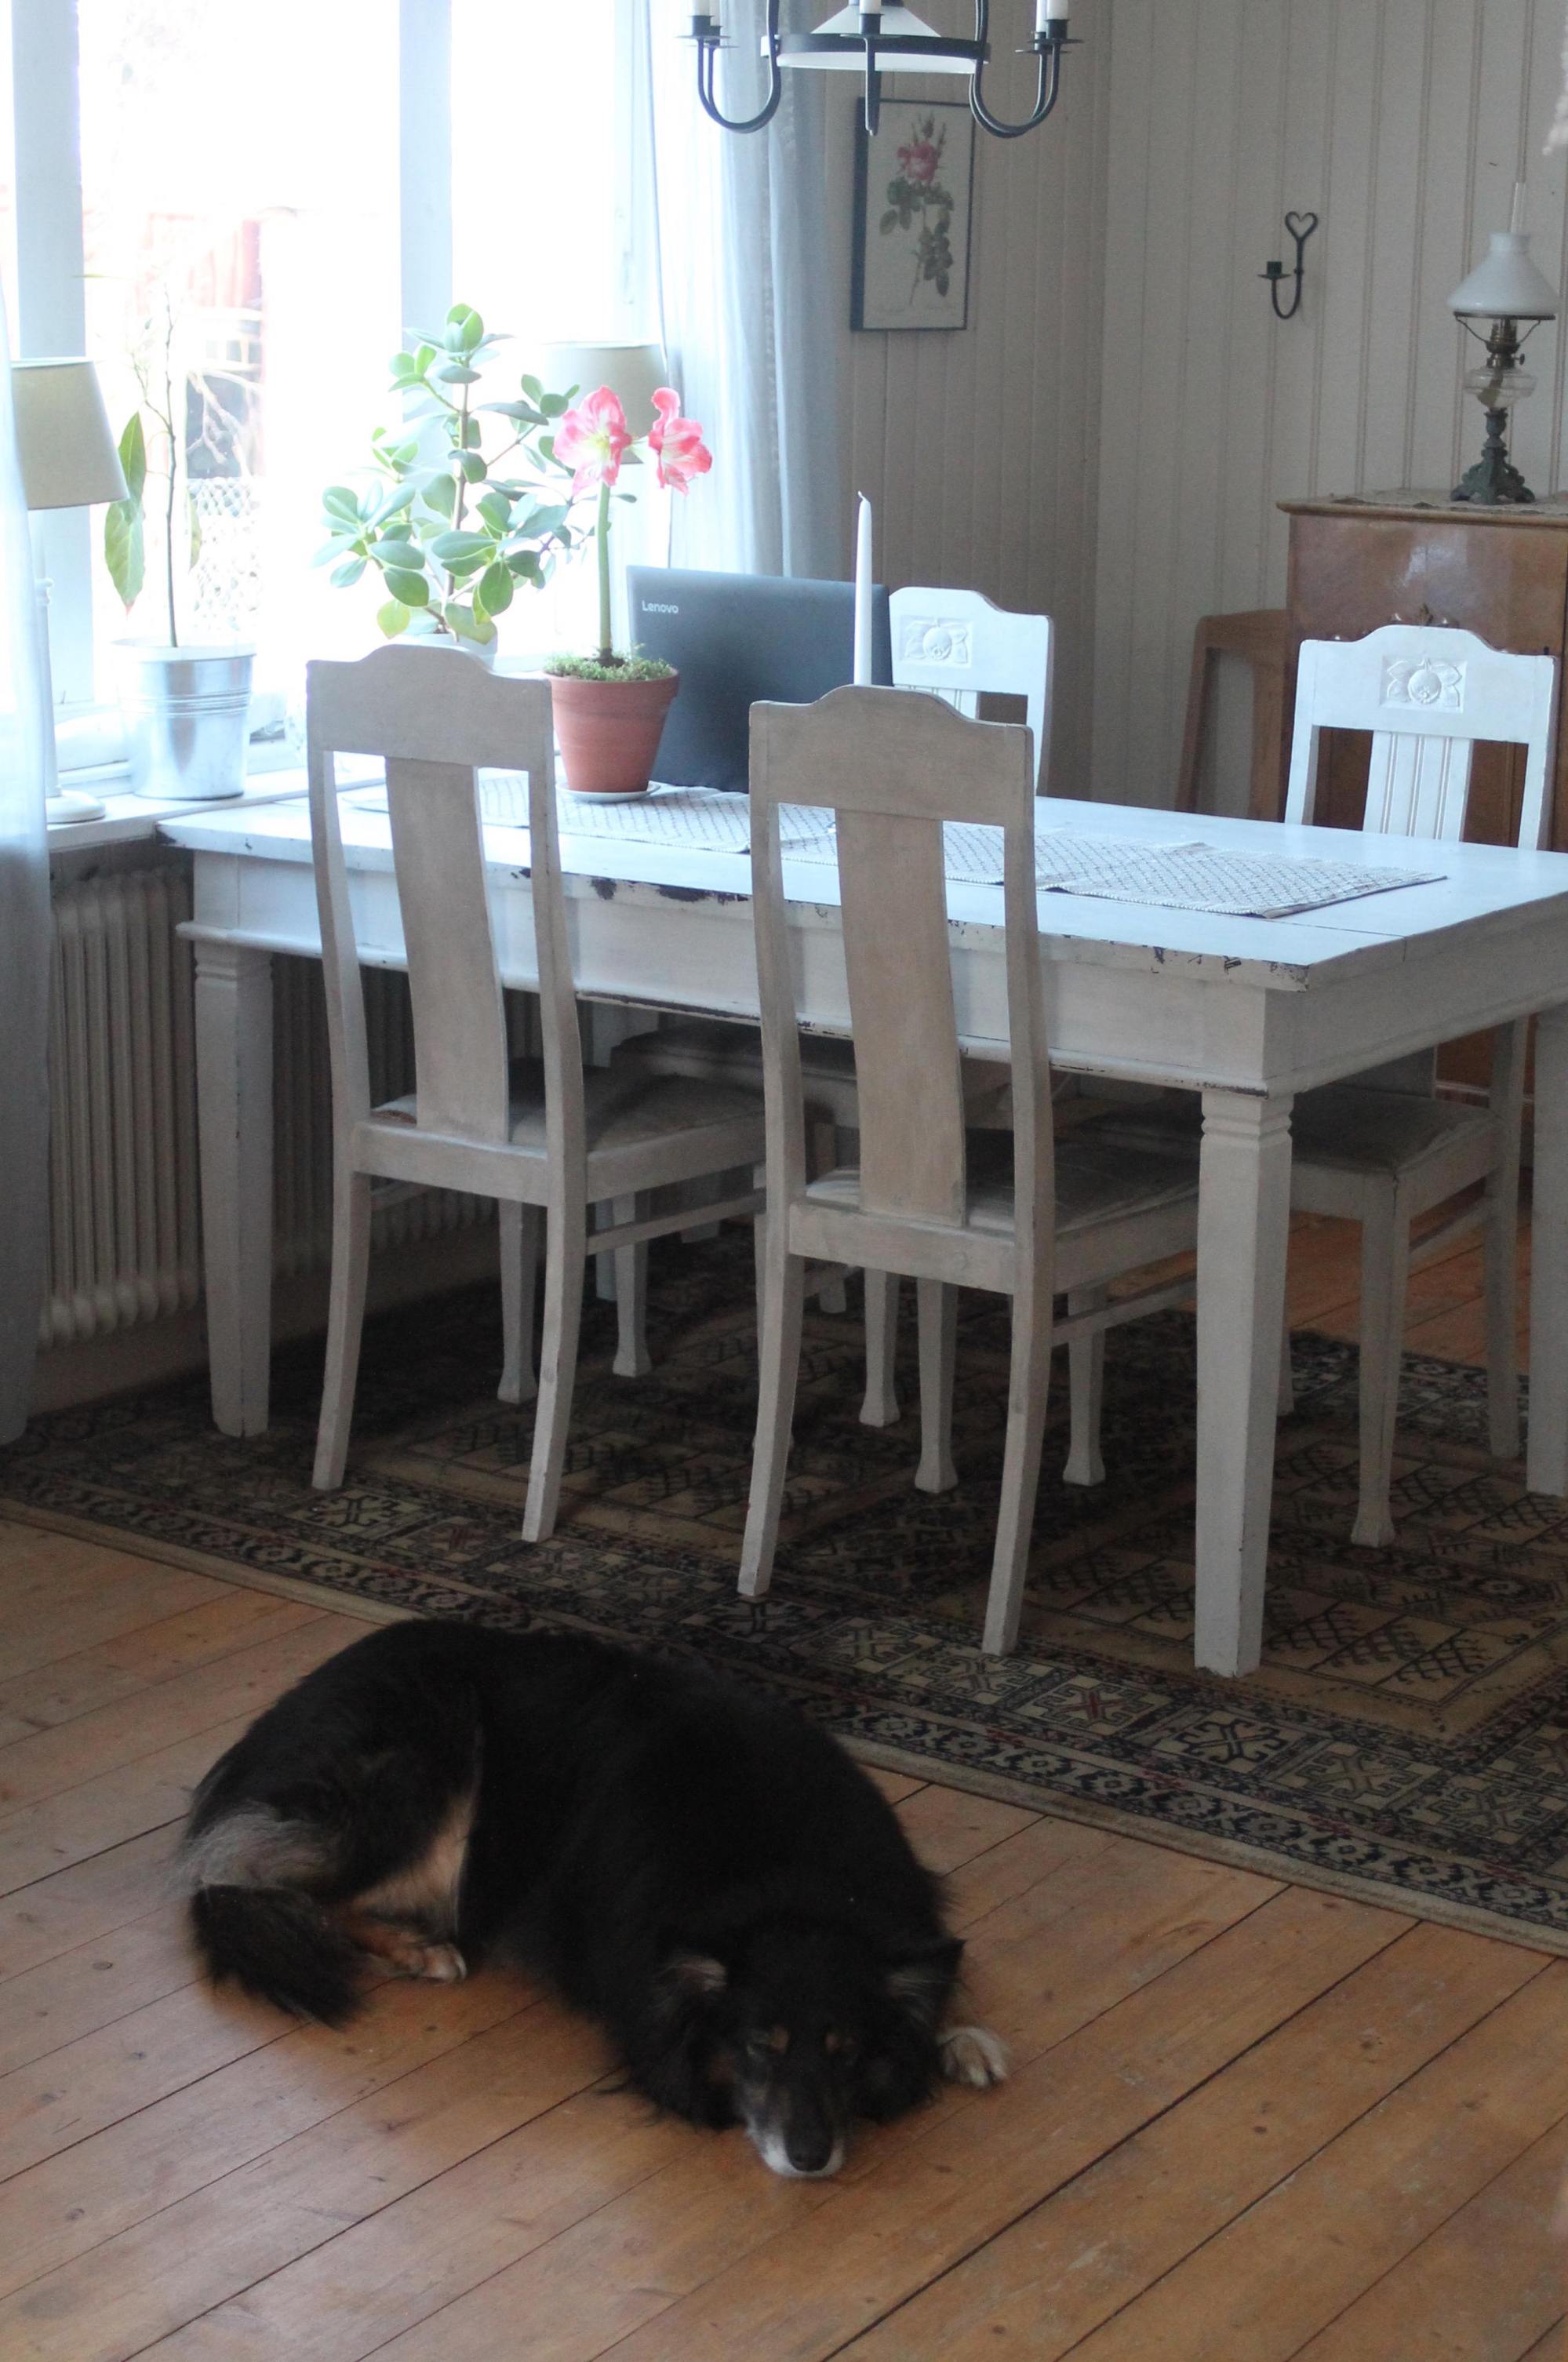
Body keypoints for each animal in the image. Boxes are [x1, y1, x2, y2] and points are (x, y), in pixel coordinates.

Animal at [179, 1621, 1007, 2178]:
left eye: (848, 2051)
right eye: (754, 2047)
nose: (810, 2157)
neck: (784, 1874)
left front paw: (958, 2034)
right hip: (432, 1780)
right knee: (259, 1879)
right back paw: (418, 1947)